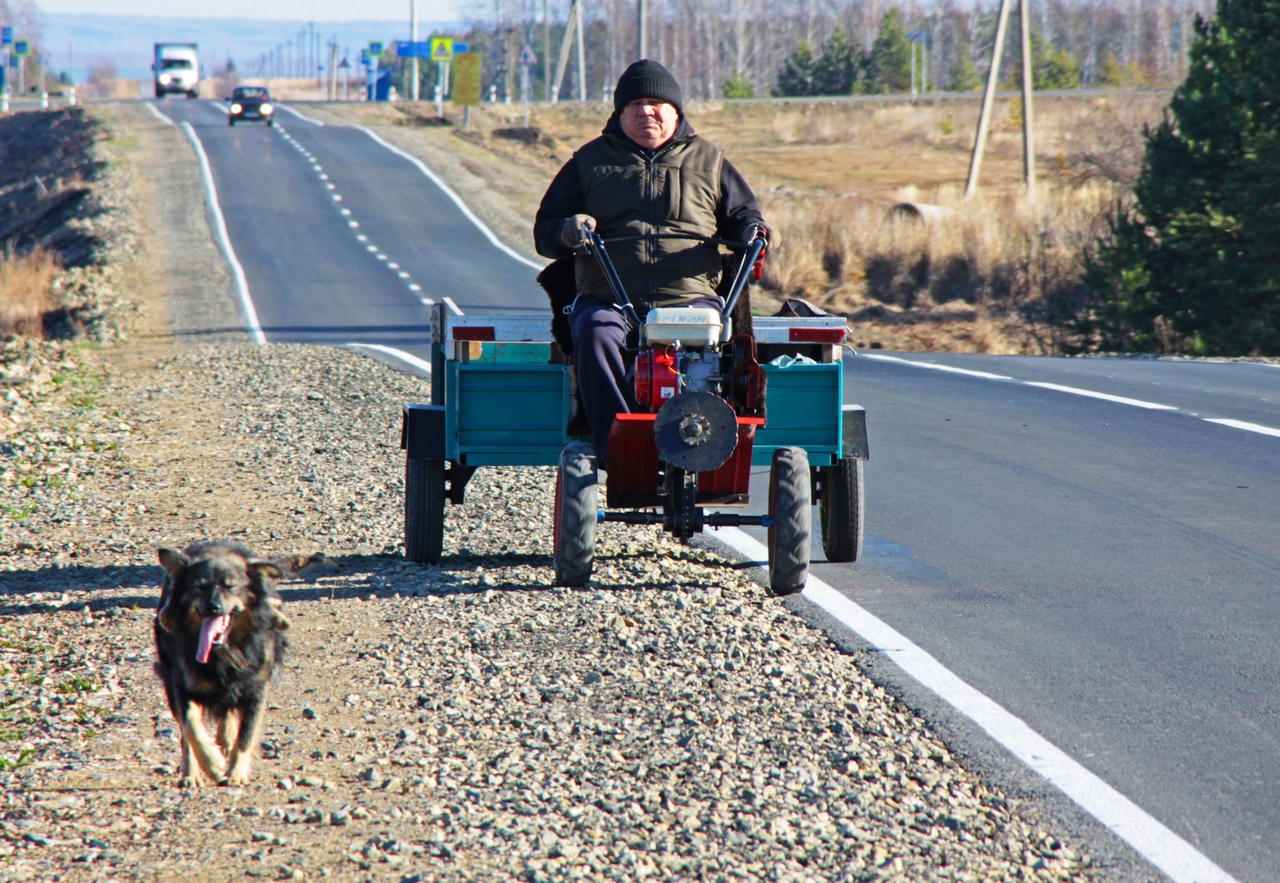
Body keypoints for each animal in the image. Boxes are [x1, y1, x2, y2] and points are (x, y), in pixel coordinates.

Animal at [153, 542, 316, 783]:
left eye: (230, 587)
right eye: (199, 587)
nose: (212, 607)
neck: (224, 652)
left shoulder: (256, 688)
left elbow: (246, 735)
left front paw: (236, 773)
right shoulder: (181, 683)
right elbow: (191, 727)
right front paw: (212, 763)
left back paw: (225, 742)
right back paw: (193, 773)